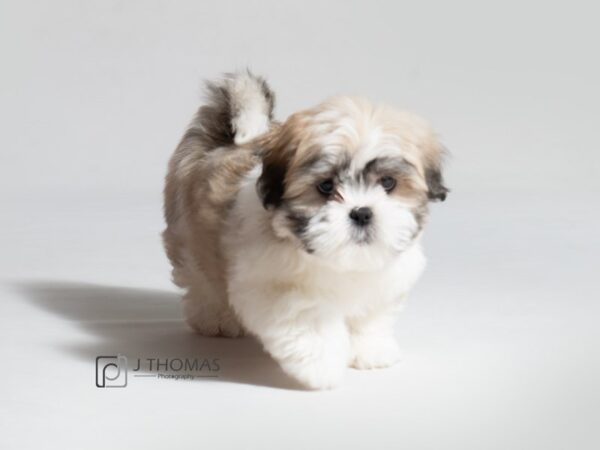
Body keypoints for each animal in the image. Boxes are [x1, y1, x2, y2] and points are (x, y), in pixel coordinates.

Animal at [162, 71, 448, 390]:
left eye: (388, 183)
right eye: (325, 186)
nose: (361, 212)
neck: (340, 261)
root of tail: (224, 142)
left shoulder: (383, 282)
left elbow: (370, 317)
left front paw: (371, 351)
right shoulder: (276, 287)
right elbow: (312, 322)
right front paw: (323, 368)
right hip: (188, 236)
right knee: (201, 278)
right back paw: (216, 318)